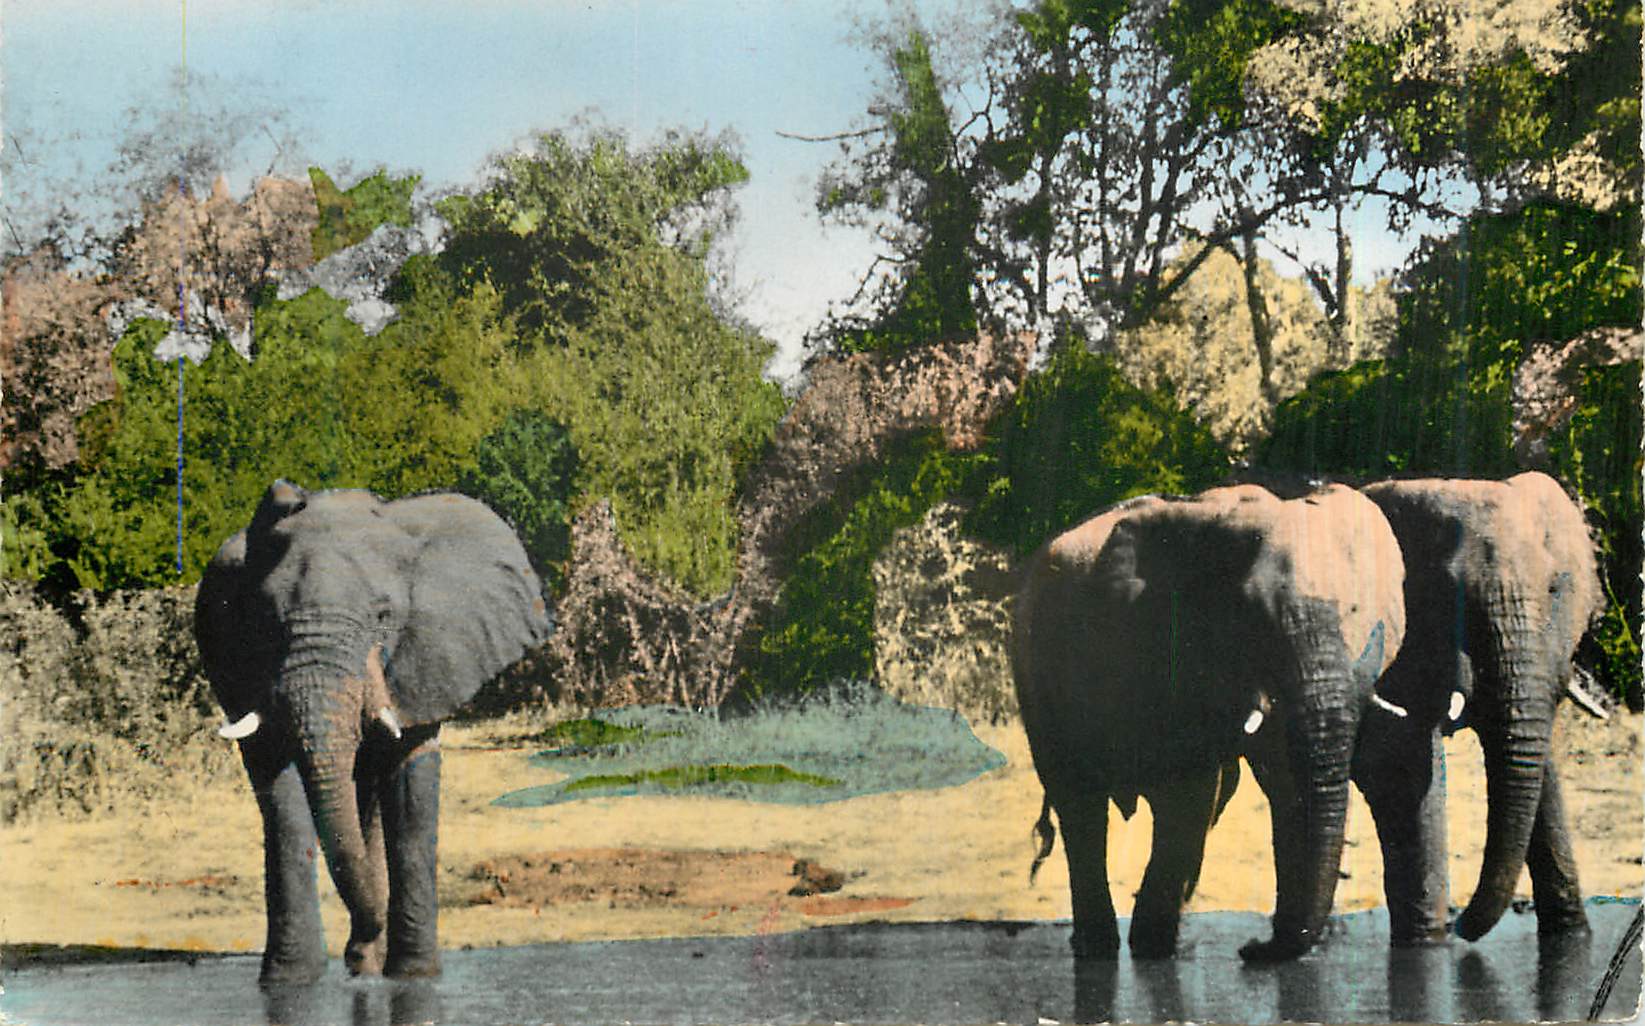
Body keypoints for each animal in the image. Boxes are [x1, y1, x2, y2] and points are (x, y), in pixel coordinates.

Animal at [195, 480, 553, 983]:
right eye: (268, 619)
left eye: (383, 616)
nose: (367, 934)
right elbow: (279, 793)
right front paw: (288, 982)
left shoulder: (429, 656)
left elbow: (410, 783)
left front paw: (414, 976)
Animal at [1011, 483, 1405, 962]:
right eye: (1250, 615)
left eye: (1354, 610)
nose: (1253, 948)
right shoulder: (1167, 647)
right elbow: (1188, 791)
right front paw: (1154, 948)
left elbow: (1283, 782)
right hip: (1036, 673)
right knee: (1081, 802)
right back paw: (1102, 947)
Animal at [1358, 472, 1602, 944]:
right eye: (1452, 598)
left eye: (1554, 591)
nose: (1462, 925)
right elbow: (1404, 772)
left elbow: (1538, 769)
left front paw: (1571, 939)